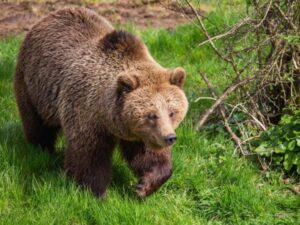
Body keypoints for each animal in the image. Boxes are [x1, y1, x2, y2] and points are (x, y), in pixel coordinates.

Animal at [14, 7, 188, 198]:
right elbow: (89, 157)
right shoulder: (85, 113)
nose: (170, 137)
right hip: (33, 85)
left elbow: (148, 155)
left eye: (172, 112)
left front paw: (144, 186)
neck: (107, 115)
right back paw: (42, 150)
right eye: (152, 115)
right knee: (37, 125)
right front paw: (96, 192)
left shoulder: (139, 133)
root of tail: (48, 17)